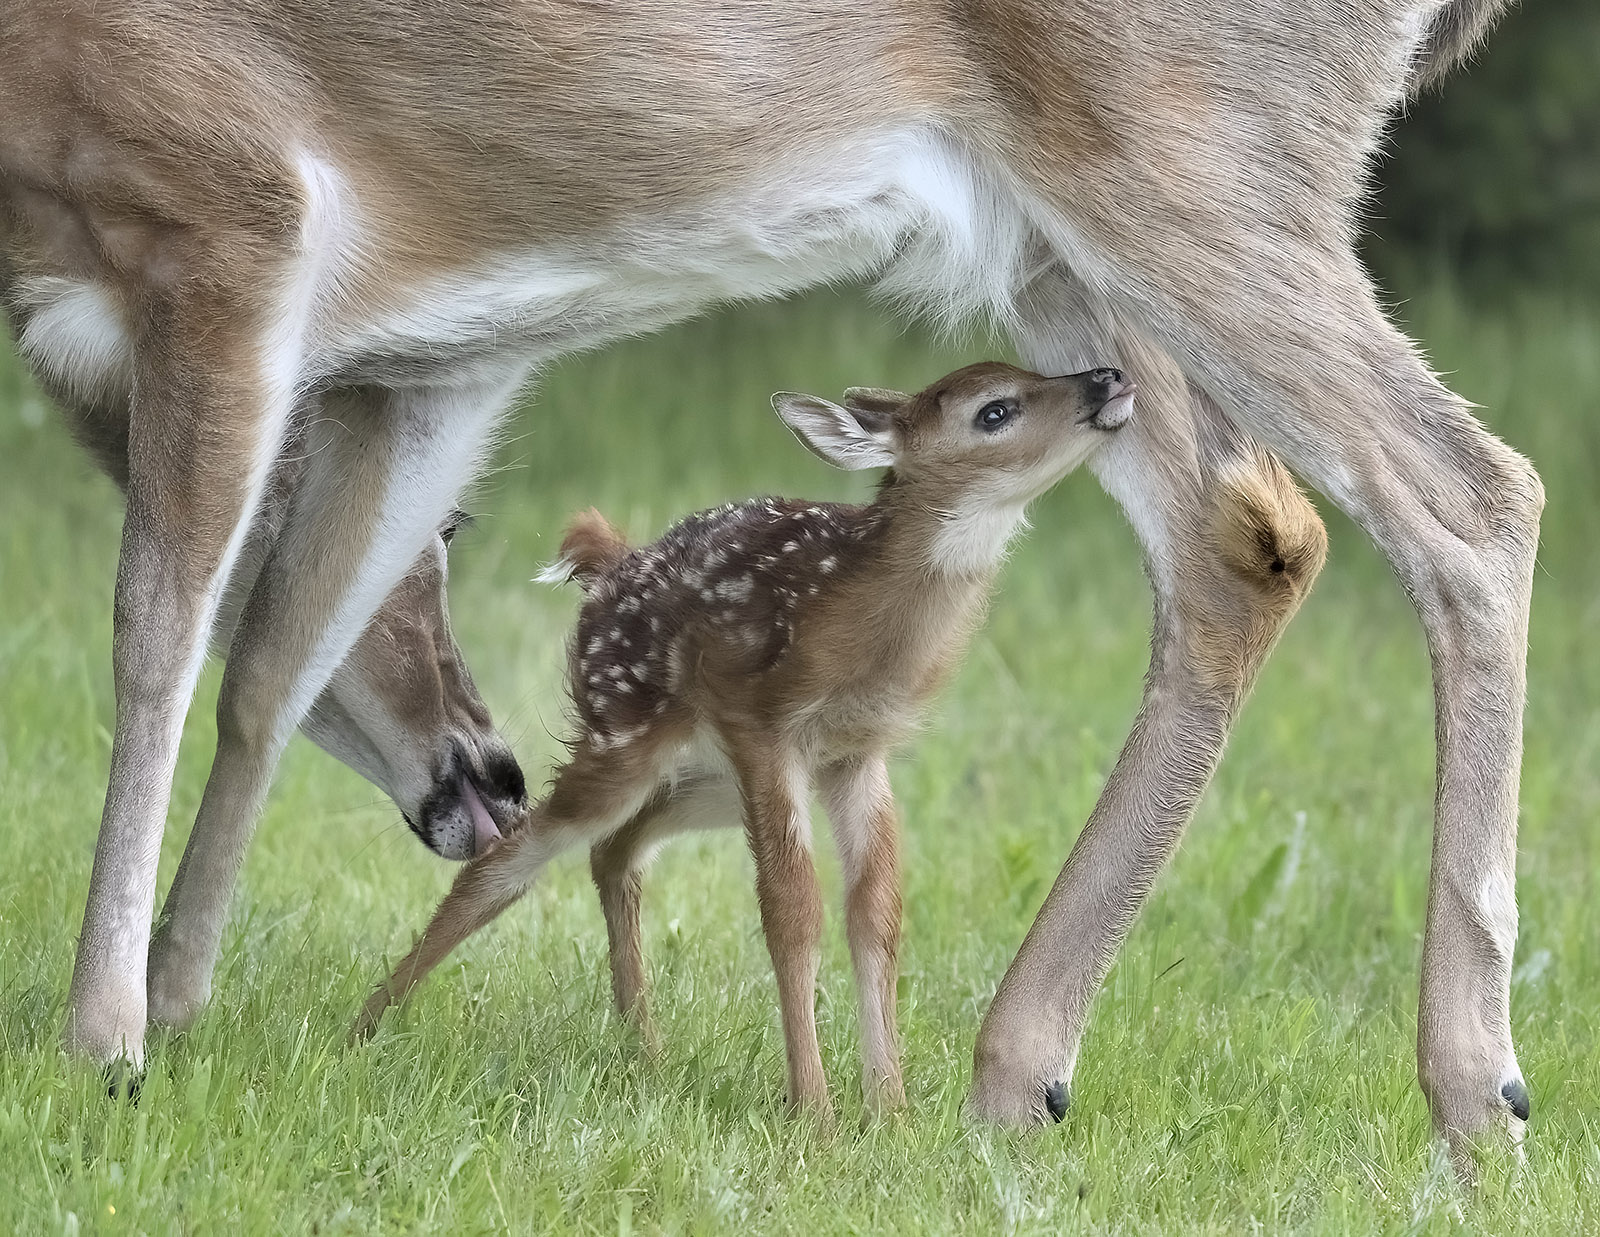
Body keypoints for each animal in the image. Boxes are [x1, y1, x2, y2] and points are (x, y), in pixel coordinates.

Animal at [0, 0, 1529, 1158]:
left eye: (468, 537)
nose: (487, 773)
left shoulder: (233, 208)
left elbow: (159, 635)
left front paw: (104, 1039)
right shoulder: (434, 355)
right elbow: (272, 659)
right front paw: (178, 1003)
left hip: (1194, 146)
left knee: (1474, 500)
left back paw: (1476, 1097)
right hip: (1066, 242)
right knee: (1245, 538)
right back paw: (1014, 1075)